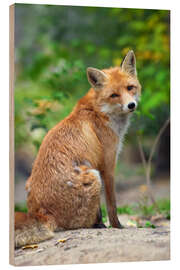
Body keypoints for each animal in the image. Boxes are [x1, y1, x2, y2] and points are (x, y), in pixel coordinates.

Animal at [14, 49, 141, 248]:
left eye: (130, 88)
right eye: (114, 95)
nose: (131, 105)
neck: (100, 111)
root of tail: (42, 214)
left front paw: (105, 224)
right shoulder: (107, 166)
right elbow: (112, 204)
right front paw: (117, 226)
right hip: (94, 177)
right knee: (81, 223)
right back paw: (95, 225)